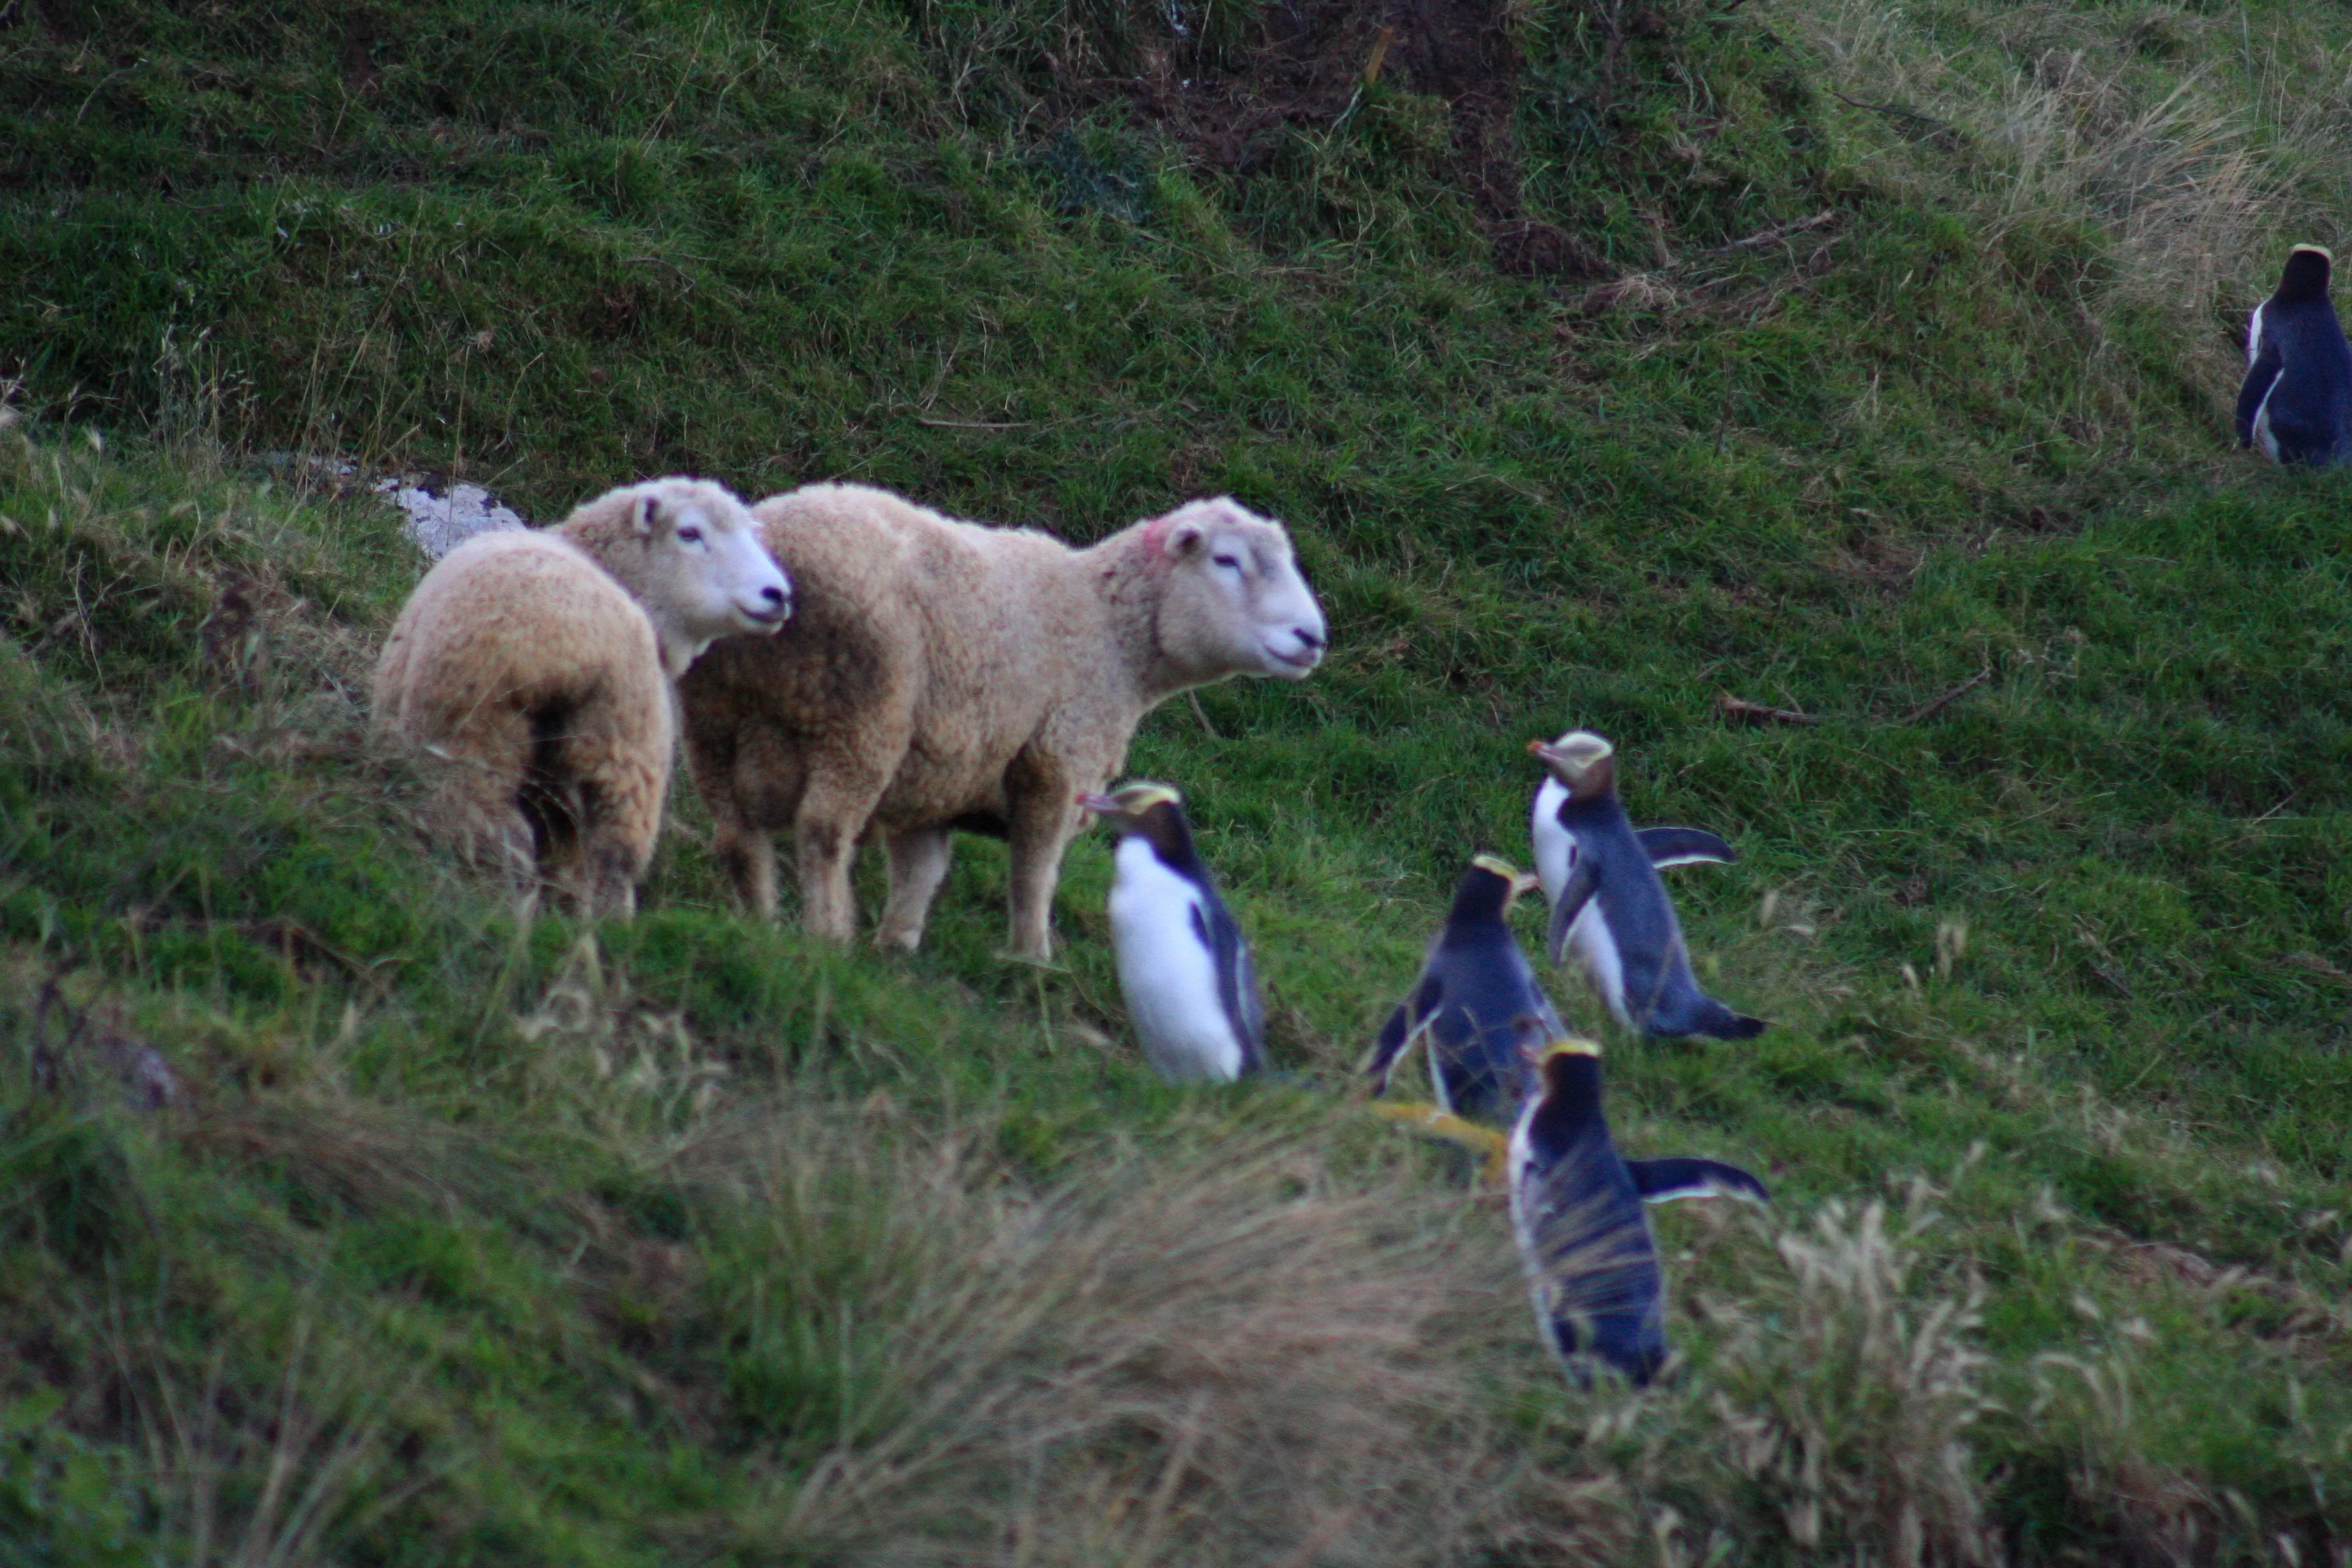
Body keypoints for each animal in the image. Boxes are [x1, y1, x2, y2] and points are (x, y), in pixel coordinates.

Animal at [677, 483, 1328, 960]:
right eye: (1227, 560)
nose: (1312, 637)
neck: (1111, 636)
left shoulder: (936, 777)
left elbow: (919, 872)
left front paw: (897, 947)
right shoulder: (1055, 761)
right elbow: (1034, 872)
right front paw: (1031, 959)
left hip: (714, 723)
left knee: (737, 836)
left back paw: (759, 927)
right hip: (861, 721)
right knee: (823, 831)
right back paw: (827, 938)